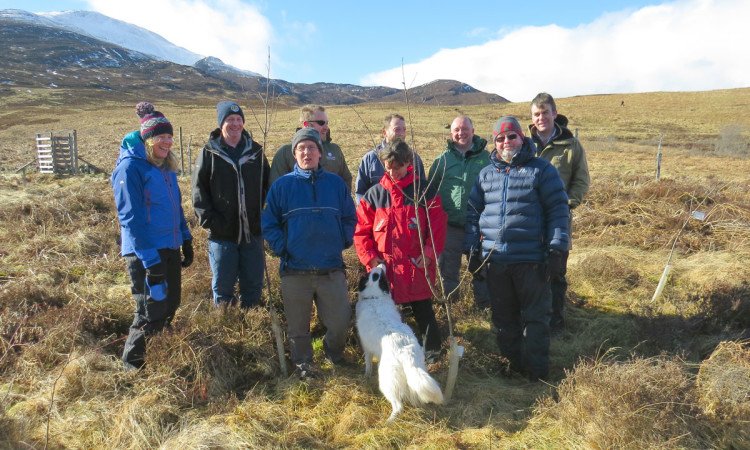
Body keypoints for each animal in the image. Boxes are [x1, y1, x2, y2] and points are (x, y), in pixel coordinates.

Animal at [356, 264, 444, 422]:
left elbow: (367, 363)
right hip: (416, 372)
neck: (375, 297)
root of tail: (406, 353)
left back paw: (390, 420)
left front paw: (366, 375)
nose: (381, 264)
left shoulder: (367, 348)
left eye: (377, 275)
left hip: (387, 381)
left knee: (398, 405)